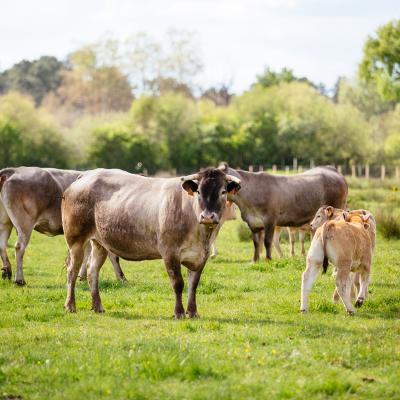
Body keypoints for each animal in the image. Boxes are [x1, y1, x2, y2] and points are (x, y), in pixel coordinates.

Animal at [61, 167, 239, 318]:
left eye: (223, 192)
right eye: (199, 192)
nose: (207, 217)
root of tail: (87, 174)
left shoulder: (201, 256)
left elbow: (193, 285)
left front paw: (193, 312)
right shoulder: (170, 253)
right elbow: (178, 283)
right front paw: (179, 313)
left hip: (99, 242)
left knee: (92, 271)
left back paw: (98, 306)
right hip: (75, 240)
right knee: (72, 271)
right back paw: (70, 306)